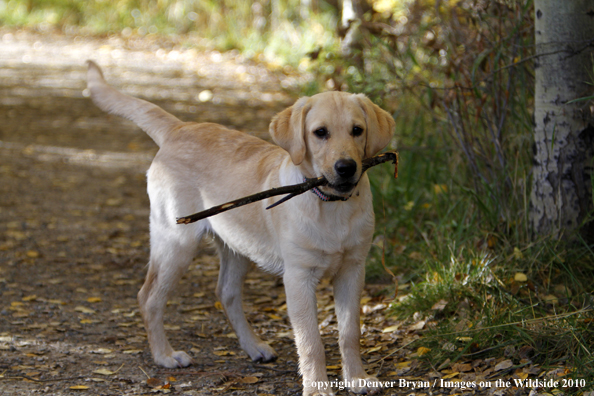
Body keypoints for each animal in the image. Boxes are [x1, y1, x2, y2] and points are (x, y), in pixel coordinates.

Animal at [85, 59, 394, 396]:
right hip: (175, 241)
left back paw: (254, 347)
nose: (346, 168)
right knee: (149, 297)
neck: (331, 206)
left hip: (236, 244)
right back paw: (165, 355)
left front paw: (357, 378)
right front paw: (317, 388)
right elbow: (311, 341)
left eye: (357, 130)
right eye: (320, 133)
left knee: (227, 292)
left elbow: (350, 332)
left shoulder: (353, 269)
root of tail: (179, 128)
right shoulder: (299, 278)